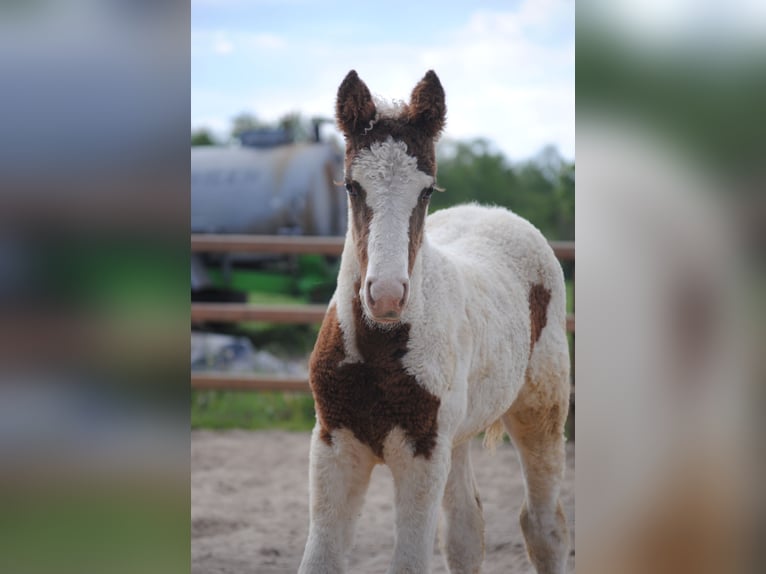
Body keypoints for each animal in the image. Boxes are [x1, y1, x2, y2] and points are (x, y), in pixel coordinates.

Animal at [298, 70, 571, 574]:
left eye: (426, 190)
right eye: (351, 186)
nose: (386, 295)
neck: (378, 346)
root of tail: (495, 212)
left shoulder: (421, 452)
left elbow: (410, 561)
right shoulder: (333, 444)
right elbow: (320, 558)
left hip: (540, 409)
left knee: (545, 527)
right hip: (457, 437)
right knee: (466, 528)